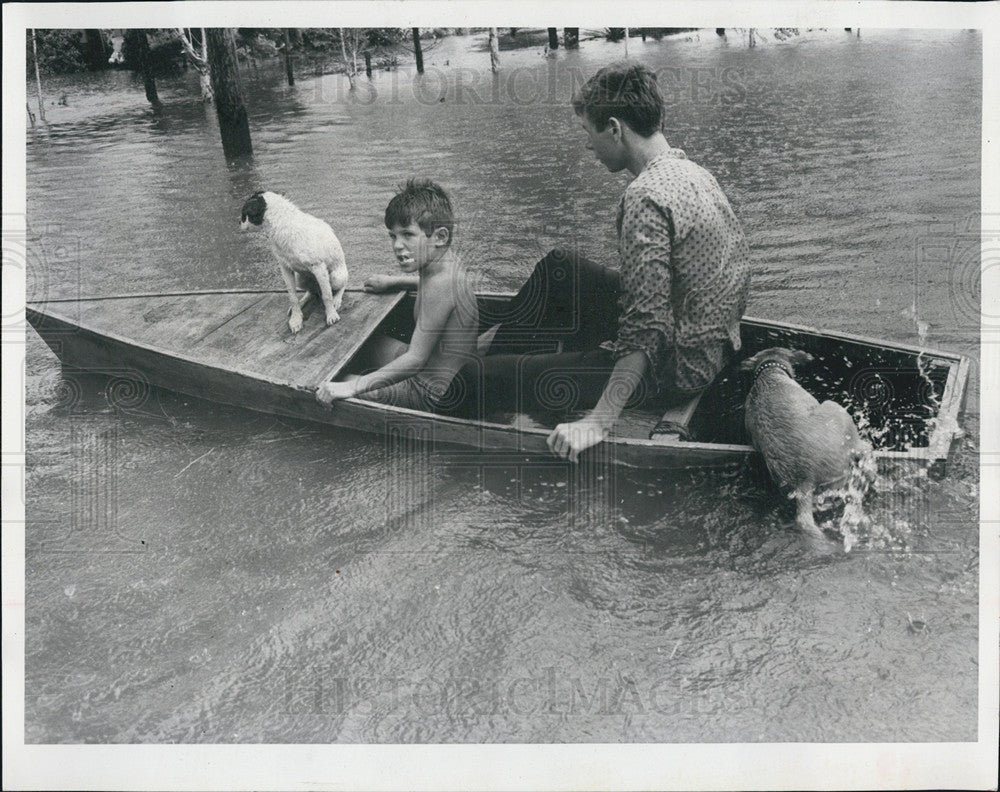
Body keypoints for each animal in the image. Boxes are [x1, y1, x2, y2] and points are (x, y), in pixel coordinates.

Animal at [240, 192, 350, 334]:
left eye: (244, 214)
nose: (239, 223)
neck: (282, 222)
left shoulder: (319, 267)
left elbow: (327, 296)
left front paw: (331, 314)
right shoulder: (285, 269)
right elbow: (293, 297)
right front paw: (296, 319)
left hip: (336, 277)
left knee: (339, 287)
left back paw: (337, 300)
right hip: (300, 279)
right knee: (311, 292)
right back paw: (303, 301)